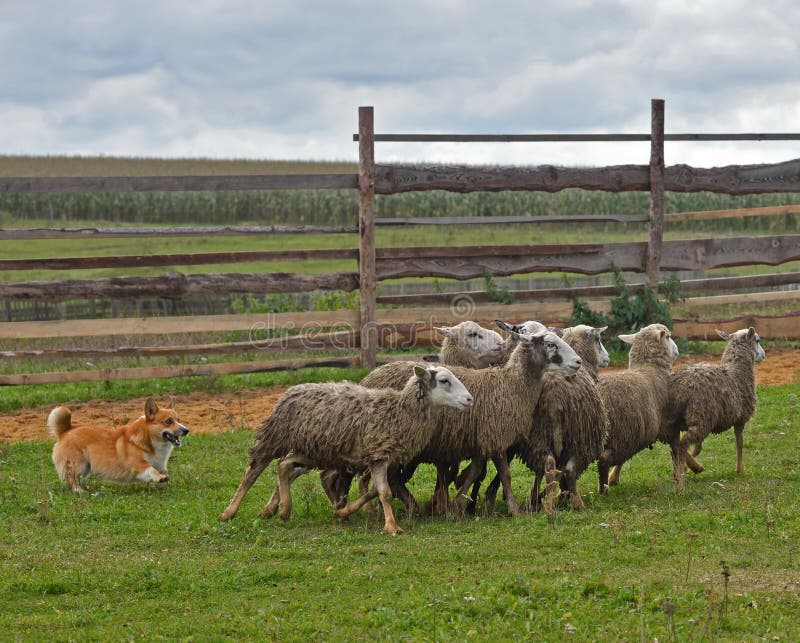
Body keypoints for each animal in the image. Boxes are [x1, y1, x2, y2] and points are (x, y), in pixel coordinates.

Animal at [47, 398, 189, 494]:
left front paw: (162, 482)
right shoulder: (139, 465)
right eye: (168, 421)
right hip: (78, 464)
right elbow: (151, 470)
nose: (186, 430)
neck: (150, 440)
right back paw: (80, 491)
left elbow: (161, 472)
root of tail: (66, 431)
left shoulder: (161, 465)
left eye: (179, 420)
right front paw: (160, 478)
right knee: (70, 479)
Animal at [217, 364, 476, 536]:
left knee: (284, 466)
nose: (470, 399)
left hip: (314, 449)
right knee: (253, 471)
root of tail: (291, 390)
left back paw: (283, 510)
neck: (399, 411)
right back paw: (230, 512)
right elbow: (384, 493)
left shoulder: (381, 458)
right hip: (276, 436)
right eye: (444, 380)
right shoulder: (378, 455)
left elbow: (374, 491)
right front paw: (392, 526)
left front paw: (343, 513)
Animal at [360, 328, 580, 520]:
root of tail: (370, 376)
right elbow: (505, 475)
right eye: (550, 344)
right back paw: (402, 507)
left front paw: (456, 505)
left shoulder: (483, 439)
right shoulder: (495, 435)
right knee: (389, 476)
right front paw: (514, 510)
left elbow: (475, 471)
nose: (578, 361)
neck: (511, 385)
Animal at [596, 324, 680, 496]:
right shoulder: (669, 424)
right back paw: (602, 490)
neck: (649, 367)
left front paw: (614, 478)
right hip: (621, 434)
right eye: (668, 337)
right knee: (604, 460)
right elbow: (676, 450)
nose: (677, 351)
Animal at [660, 328, 764, 484]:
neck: (737, 370)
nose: (764, 355)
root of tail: (680, 386)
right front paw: (740, 470)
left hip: (677, 419)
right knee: (682, 444)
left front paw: (685, 466)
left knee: (674, 444)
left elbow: (698, 448)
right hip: (701, 417)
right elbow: (739, 443)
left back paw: (684, 470)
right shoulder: (741, 419)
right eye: (757, 340)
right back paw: (682, 476)